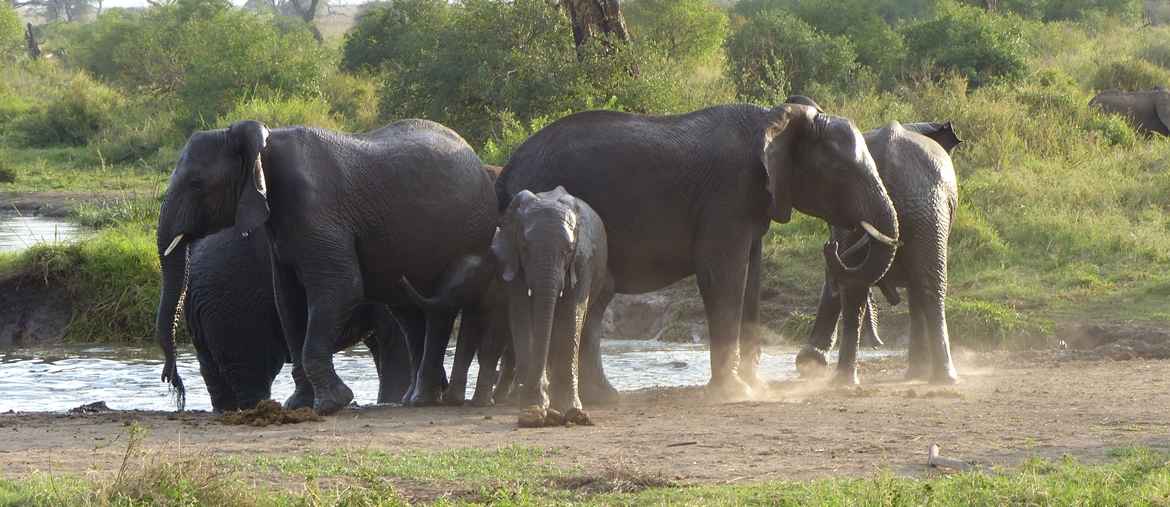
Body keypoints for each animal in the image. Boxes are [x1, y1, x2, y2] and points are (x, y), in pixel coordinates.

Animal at [491, 186, 613, 426]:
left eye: (569, 250)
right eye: (525, 247)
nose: (521, 386)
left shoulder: (583, 261)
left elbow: (572, 313)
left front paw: (568, 408)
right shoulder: (513, 262)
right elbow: (522, 315)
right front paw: (533, 404)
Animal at [498, 103, 898, 402]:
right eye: (842, 172)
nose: (833, 245)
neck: (775, 119)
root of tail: (504, 173)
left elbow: (751, 276)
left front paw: (755, 387)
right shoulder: (729, 194)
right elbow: (720, 272)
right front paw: (734, 392)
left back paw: (602, 398)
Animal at [790, 97, 964, 384]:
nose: (878, 343)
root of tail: (887, 160)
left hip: (919, 208)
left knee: (869, 287)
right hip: (924, 207)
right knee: (928, 286)